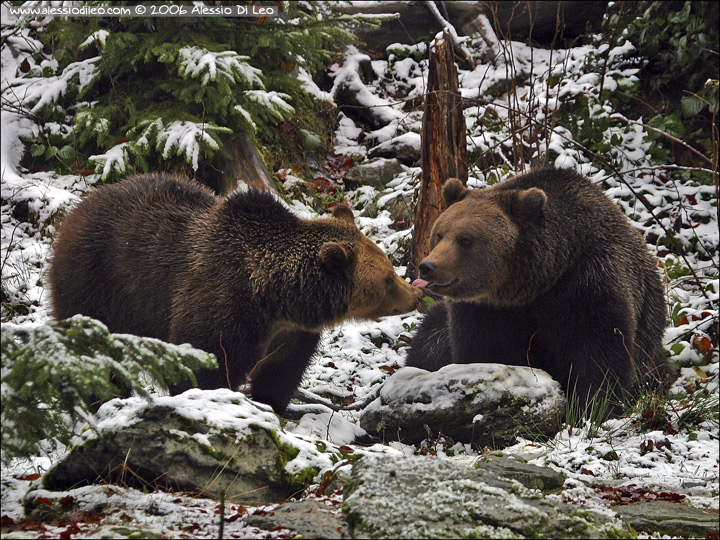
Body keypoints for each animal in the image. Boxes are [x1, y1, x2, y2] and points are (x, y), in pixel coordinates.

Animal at [49, 173, 422, 414]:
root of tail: (81, 205)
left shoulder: (291, 335)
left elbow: (280, 374)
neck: (276, 298)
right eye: (388, 278)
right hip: (97, 282)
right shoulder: (222, 306)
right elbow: (205, 364)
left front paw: (272, 405)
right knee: (96, 351)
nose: (415, 294)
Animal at [408, 167, 676, 412]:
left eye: (465, 240)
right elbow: (484, 348)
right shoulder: (485, 310)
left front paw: (594, 406)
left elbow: (599, 351)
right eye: (439, 234)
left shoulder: (588, 283)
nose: (427, 266)